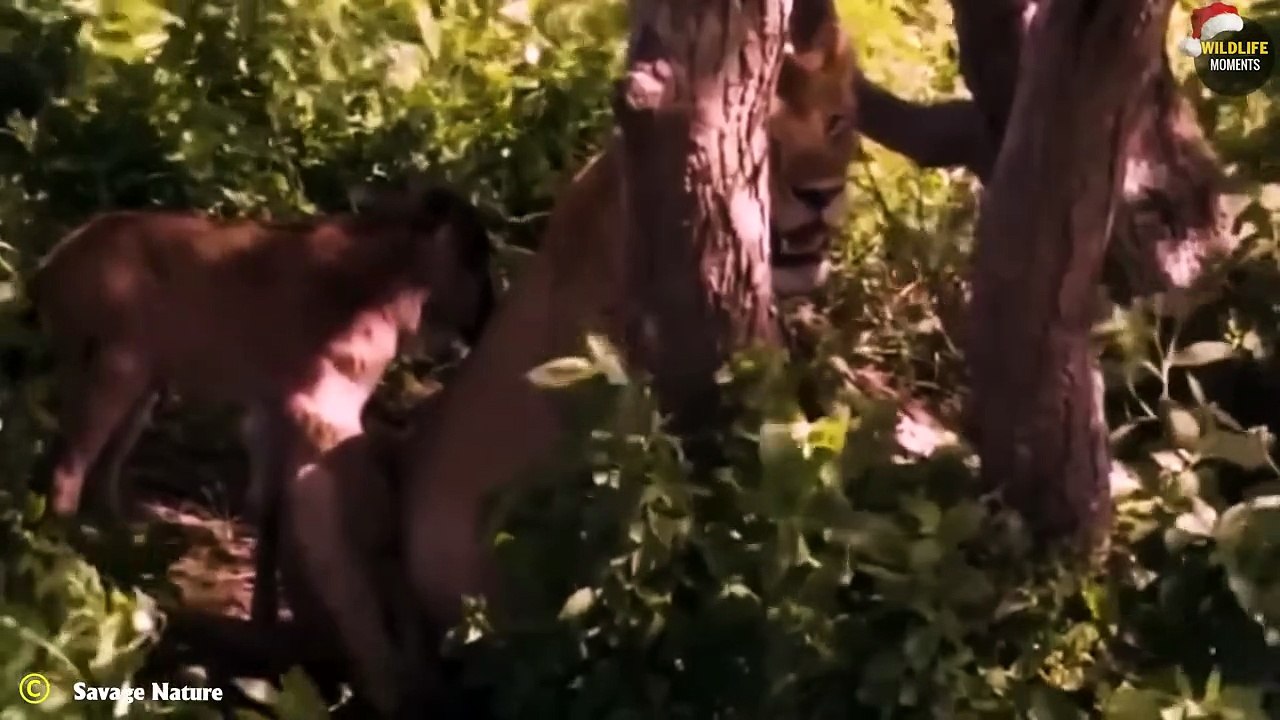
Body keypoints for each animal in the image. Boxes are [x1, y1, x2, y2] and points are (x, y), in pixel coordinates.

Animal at [29, 183, 495, 627]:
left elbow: (268, 511)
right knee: (69, 466)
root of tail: (54, 266)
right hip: (116, 368)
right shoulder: (319, 405)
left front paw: (264, 611)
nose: (486, 319)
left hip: (132, 382)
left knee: (98, 463)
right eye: (474, 256)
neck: (378, 286)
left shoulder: (271, 408)